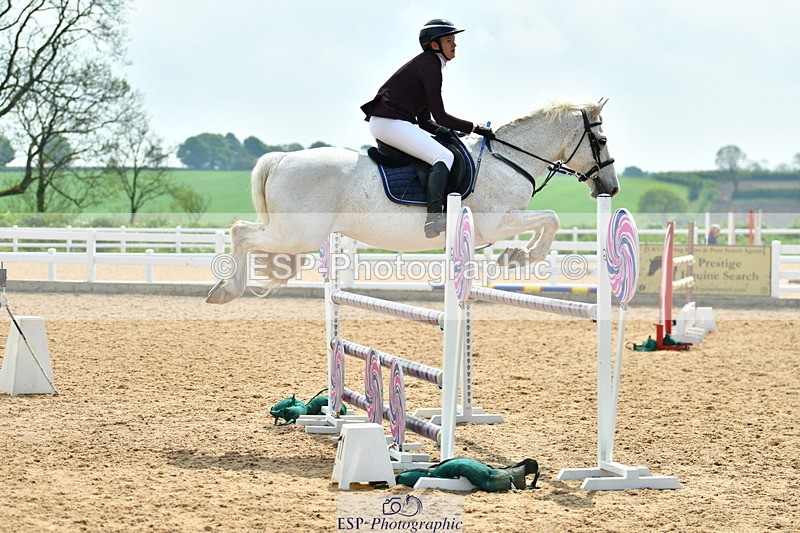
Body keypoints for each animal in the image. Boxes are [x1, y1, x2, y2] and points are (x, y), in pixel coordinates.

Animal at [206, 99, 619, 304]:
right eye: (600, 141)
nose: (611, 188)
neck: (509, 158)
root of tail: (282, 158)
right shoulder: (497, 222)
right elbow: (551, 218)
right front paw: (519, 257)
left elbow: (549, 220)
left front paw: (517, 255)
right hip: (297, 234)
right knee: (241, 233)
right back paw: (227, 290)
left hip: (294, 233)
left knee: (244, 233)